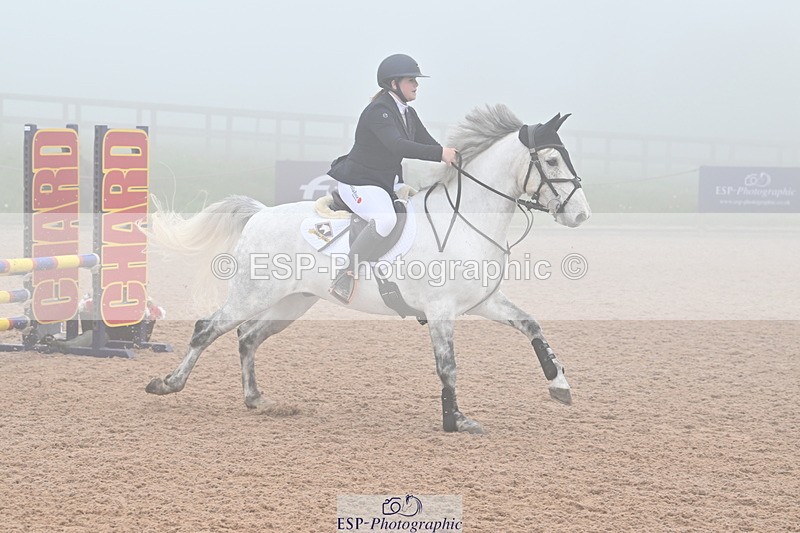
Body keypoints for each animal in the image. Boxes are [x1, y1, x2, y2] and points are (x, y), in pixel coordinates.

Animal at [144, 105, 591, 434]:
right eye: (552, 159)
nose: (581, 215)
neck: (466, 221)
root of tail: (259, 214)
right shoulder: (442, 311)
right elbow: (447, 366)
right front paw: (456, 421)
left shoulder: (484, 302)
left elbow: (532, 326)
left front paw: (560, 385)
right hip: (251, 294)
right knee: (208, 329)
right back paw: (167, 384)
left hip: (292, 302)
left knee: (247, 337)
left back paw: (256, 399)